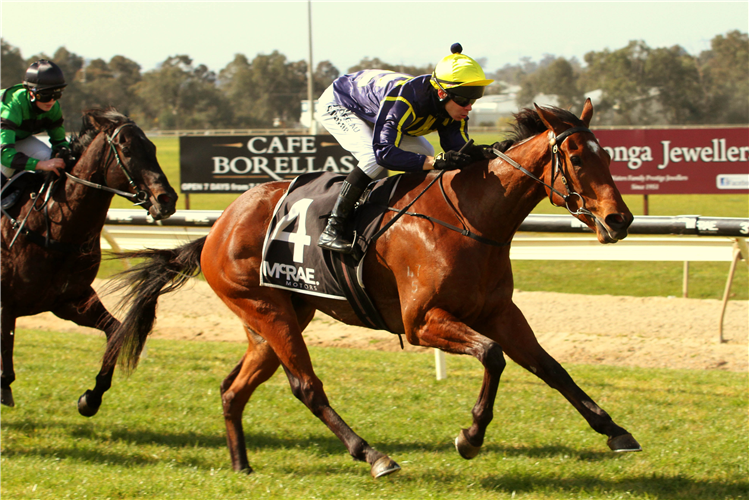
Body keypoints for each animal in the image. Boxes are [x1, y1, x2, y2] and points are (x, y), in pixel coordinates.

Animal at [0, 109, 178, 418]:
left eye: (153, 148)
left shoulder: (70, 300)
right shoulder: (5, 302)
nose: (166, 199)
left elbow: (115, 330)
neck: (52, 227)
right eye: (127, 150)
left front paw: (91, 398)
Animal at [105, 99, 640, 478]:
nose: (620, 219)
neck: (471, 218)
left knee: (234, 388)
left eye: (608, 156)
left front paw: (614, 430)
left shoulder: (500, 313)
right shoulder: (422, 322)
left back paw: (242, 466)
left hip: (274, 318)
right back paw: (372, 454)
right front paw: (470, 436)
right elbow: (492, 356)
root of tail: (218, 226)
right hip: (268, 311)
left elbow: (551, 367)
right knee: (306, 386)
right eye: (575, 157)